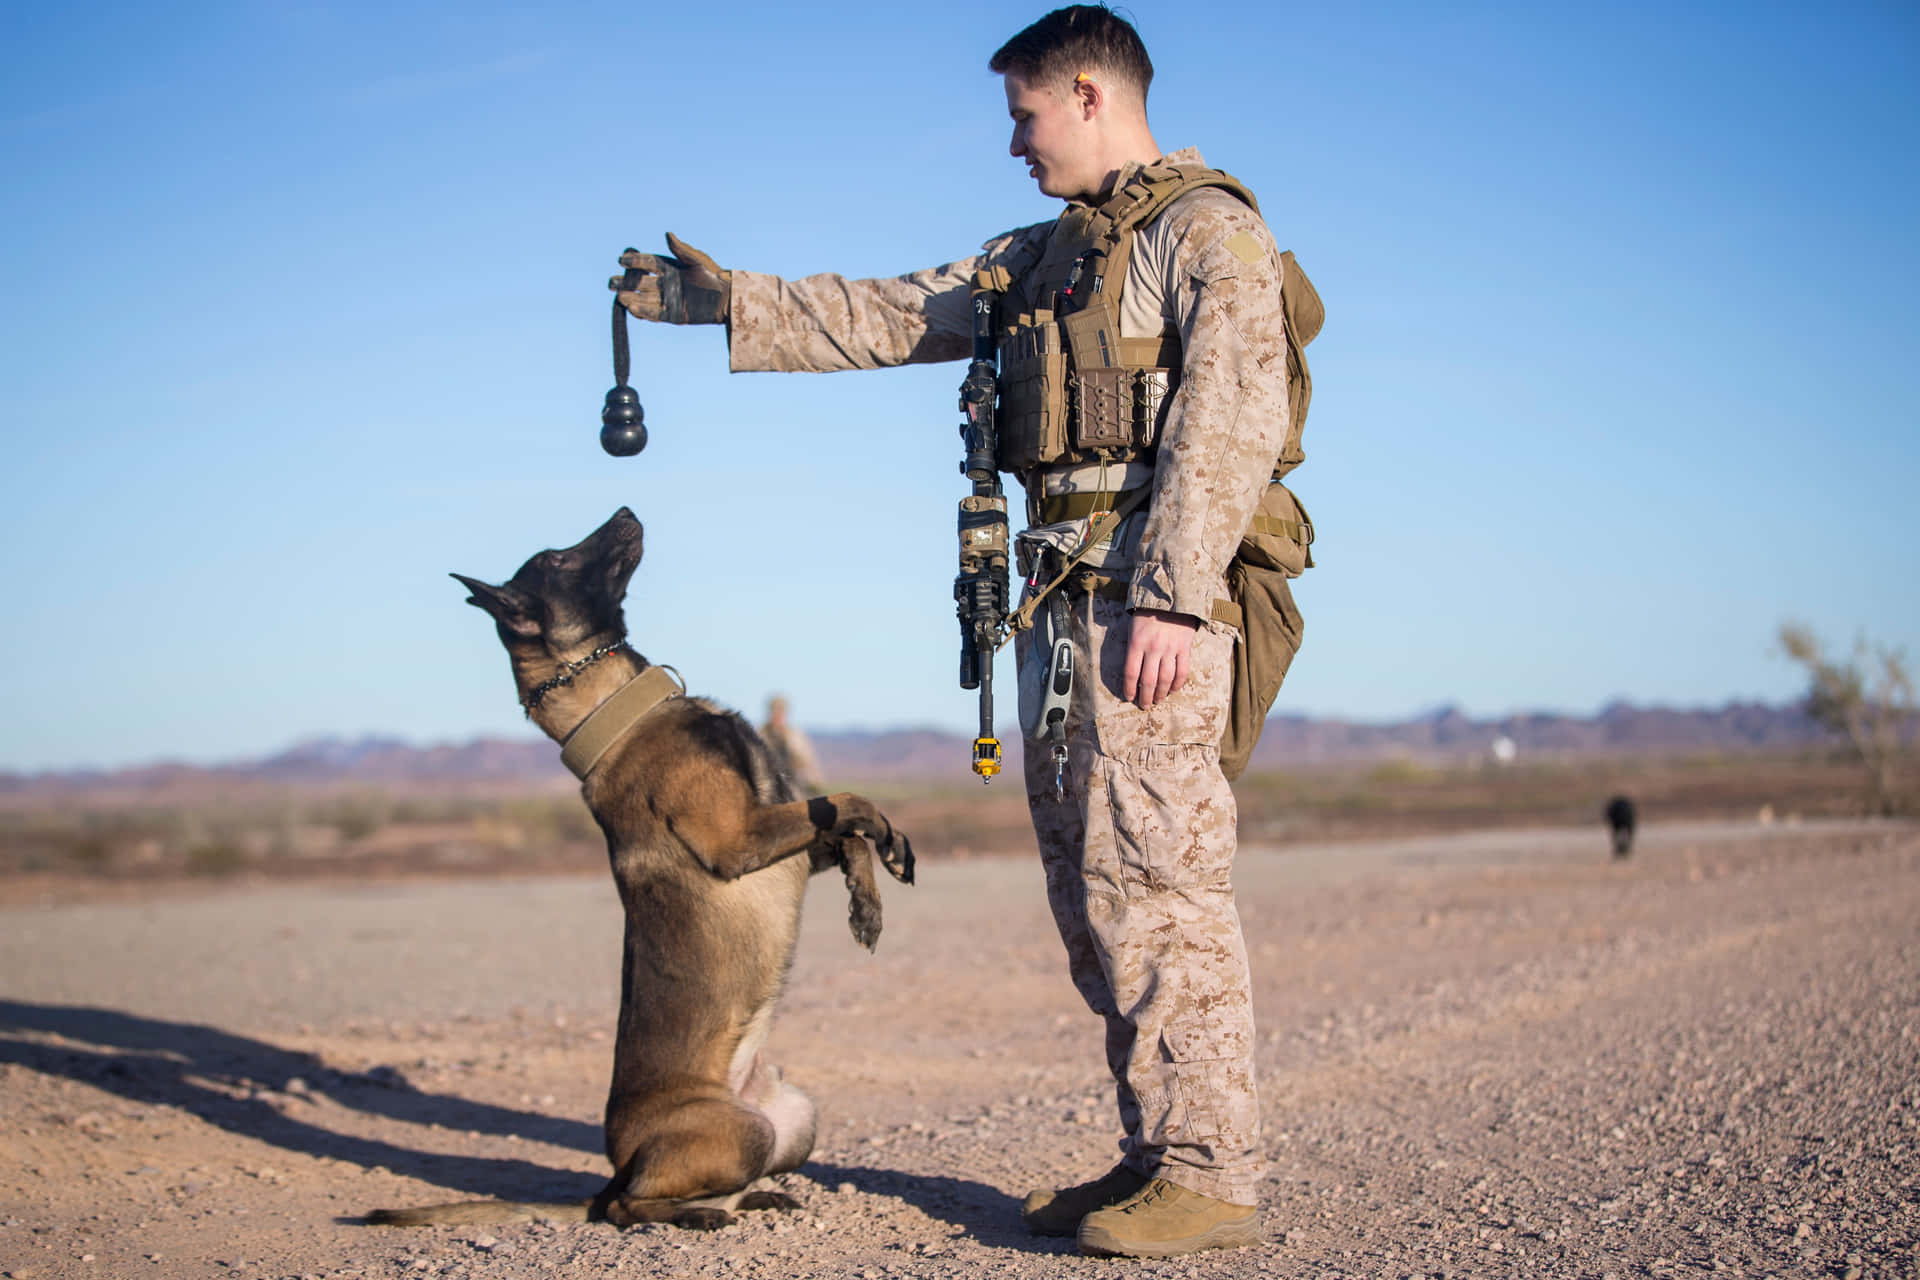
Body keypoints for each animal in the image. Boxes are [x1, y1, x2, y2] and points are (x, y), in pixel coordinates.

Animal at [376, 506, 921, 1228]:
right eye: (555, 559)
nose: (626, 512)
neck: (618, 711)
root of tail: (618, 1166)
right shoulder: (737, 837)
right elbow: (850, 801)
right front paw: (885, 842)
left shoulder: (786, 845)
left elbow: (843, 826)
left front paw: (870, 897)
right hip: (739, 1133)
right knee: (628, 1209)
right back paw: (697, 1214)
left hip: (795, 1116)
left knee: (700, 1186)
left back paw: (756, 1196)